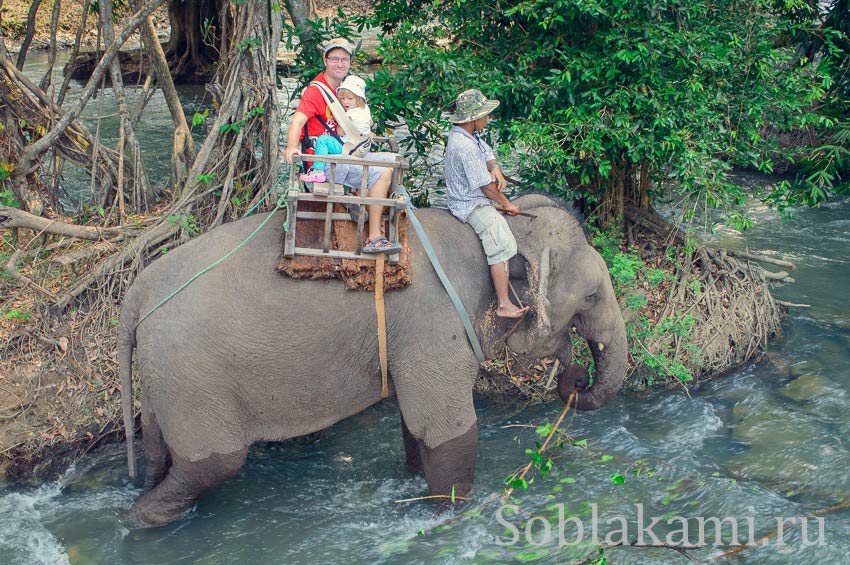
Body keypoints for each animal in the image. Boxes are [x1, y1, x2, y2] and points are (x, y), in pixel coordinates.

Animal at [116, 193, 628, 524]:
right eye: (590, 296)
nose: (577, 380)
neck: (492, 230)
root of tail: (136, 292)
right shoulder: (435, 326)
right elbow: (447, 426)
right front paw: (453, 515)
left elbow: (415, 426)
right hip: (192, 377)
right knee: (213, 465)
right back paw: (142, 521)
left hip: (162, 376)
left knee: (159, 452)